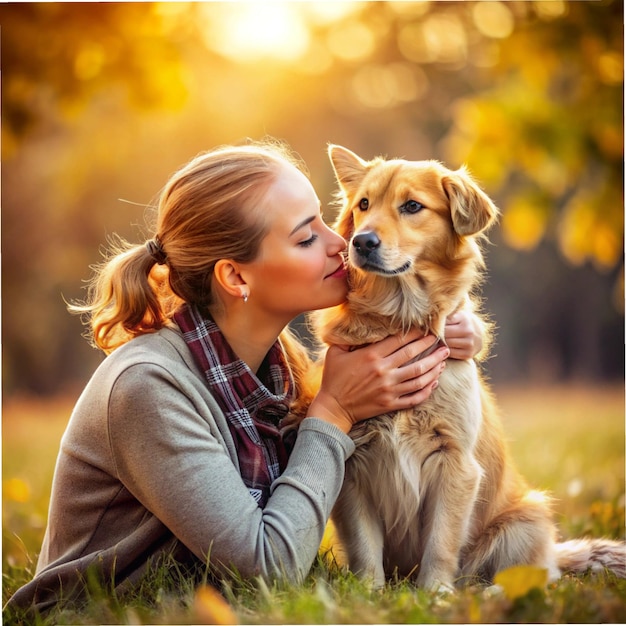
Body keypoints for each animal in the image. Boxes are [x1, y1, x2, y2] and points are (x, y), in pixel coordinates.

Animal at [312, 144, 624, 588]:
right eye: (364, 205)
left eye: (412, 206)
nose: (362, 241)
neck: (399, 317)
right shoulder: (353, 464)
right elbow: (363, 544)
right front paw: (369, 591)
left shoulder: (456, 463)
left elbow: (441, 540)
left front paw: (435, 592)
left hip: (523, 522)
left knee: (523, 577)